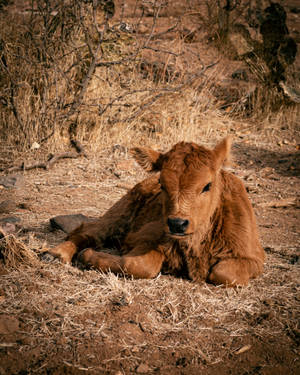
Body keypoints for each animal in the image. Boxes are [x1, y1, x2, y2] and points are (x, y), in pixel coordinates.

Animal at [48, 138, 266, 288]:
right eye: (162, 184)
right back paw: (56, 254)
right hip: (119, 214)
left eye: (207, 185)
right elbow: (140, 265)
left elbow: (224, 273)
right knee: (90, 230)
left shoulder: (254, 259)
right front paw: (87, 256)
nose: (177, 224)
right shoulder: (141, 237)